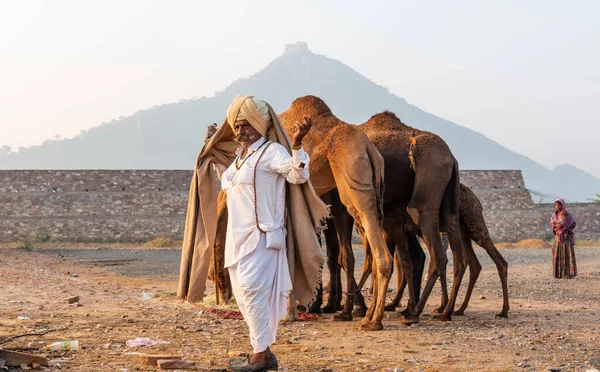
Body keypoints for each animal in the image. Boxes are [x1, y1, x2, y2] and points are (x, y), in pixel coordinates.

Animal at [209, 96, 392, 332]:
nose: (220, 290)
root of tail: (369, 148)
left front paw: (288, 314)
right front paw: (293, 311)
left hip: (354, 178)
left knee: (380, 251)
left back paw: (373, 320)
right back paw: (365, 314)